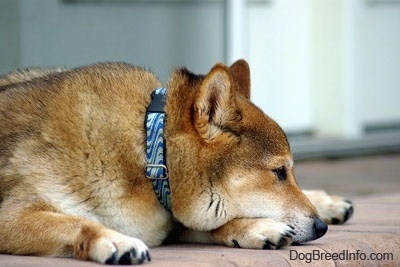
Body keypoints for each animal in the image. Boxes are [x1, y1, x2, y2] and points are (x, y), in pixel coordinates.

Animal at [0, 59, 354, 264]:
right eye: (279, 172)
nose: (320, 228)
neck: (148, 156)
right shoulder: (10, 216)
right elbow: (77, 222)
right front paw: (114, 240)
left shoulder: (172, 218)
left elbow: (209, 223)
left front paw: (254, 227)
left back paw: (329, 203)